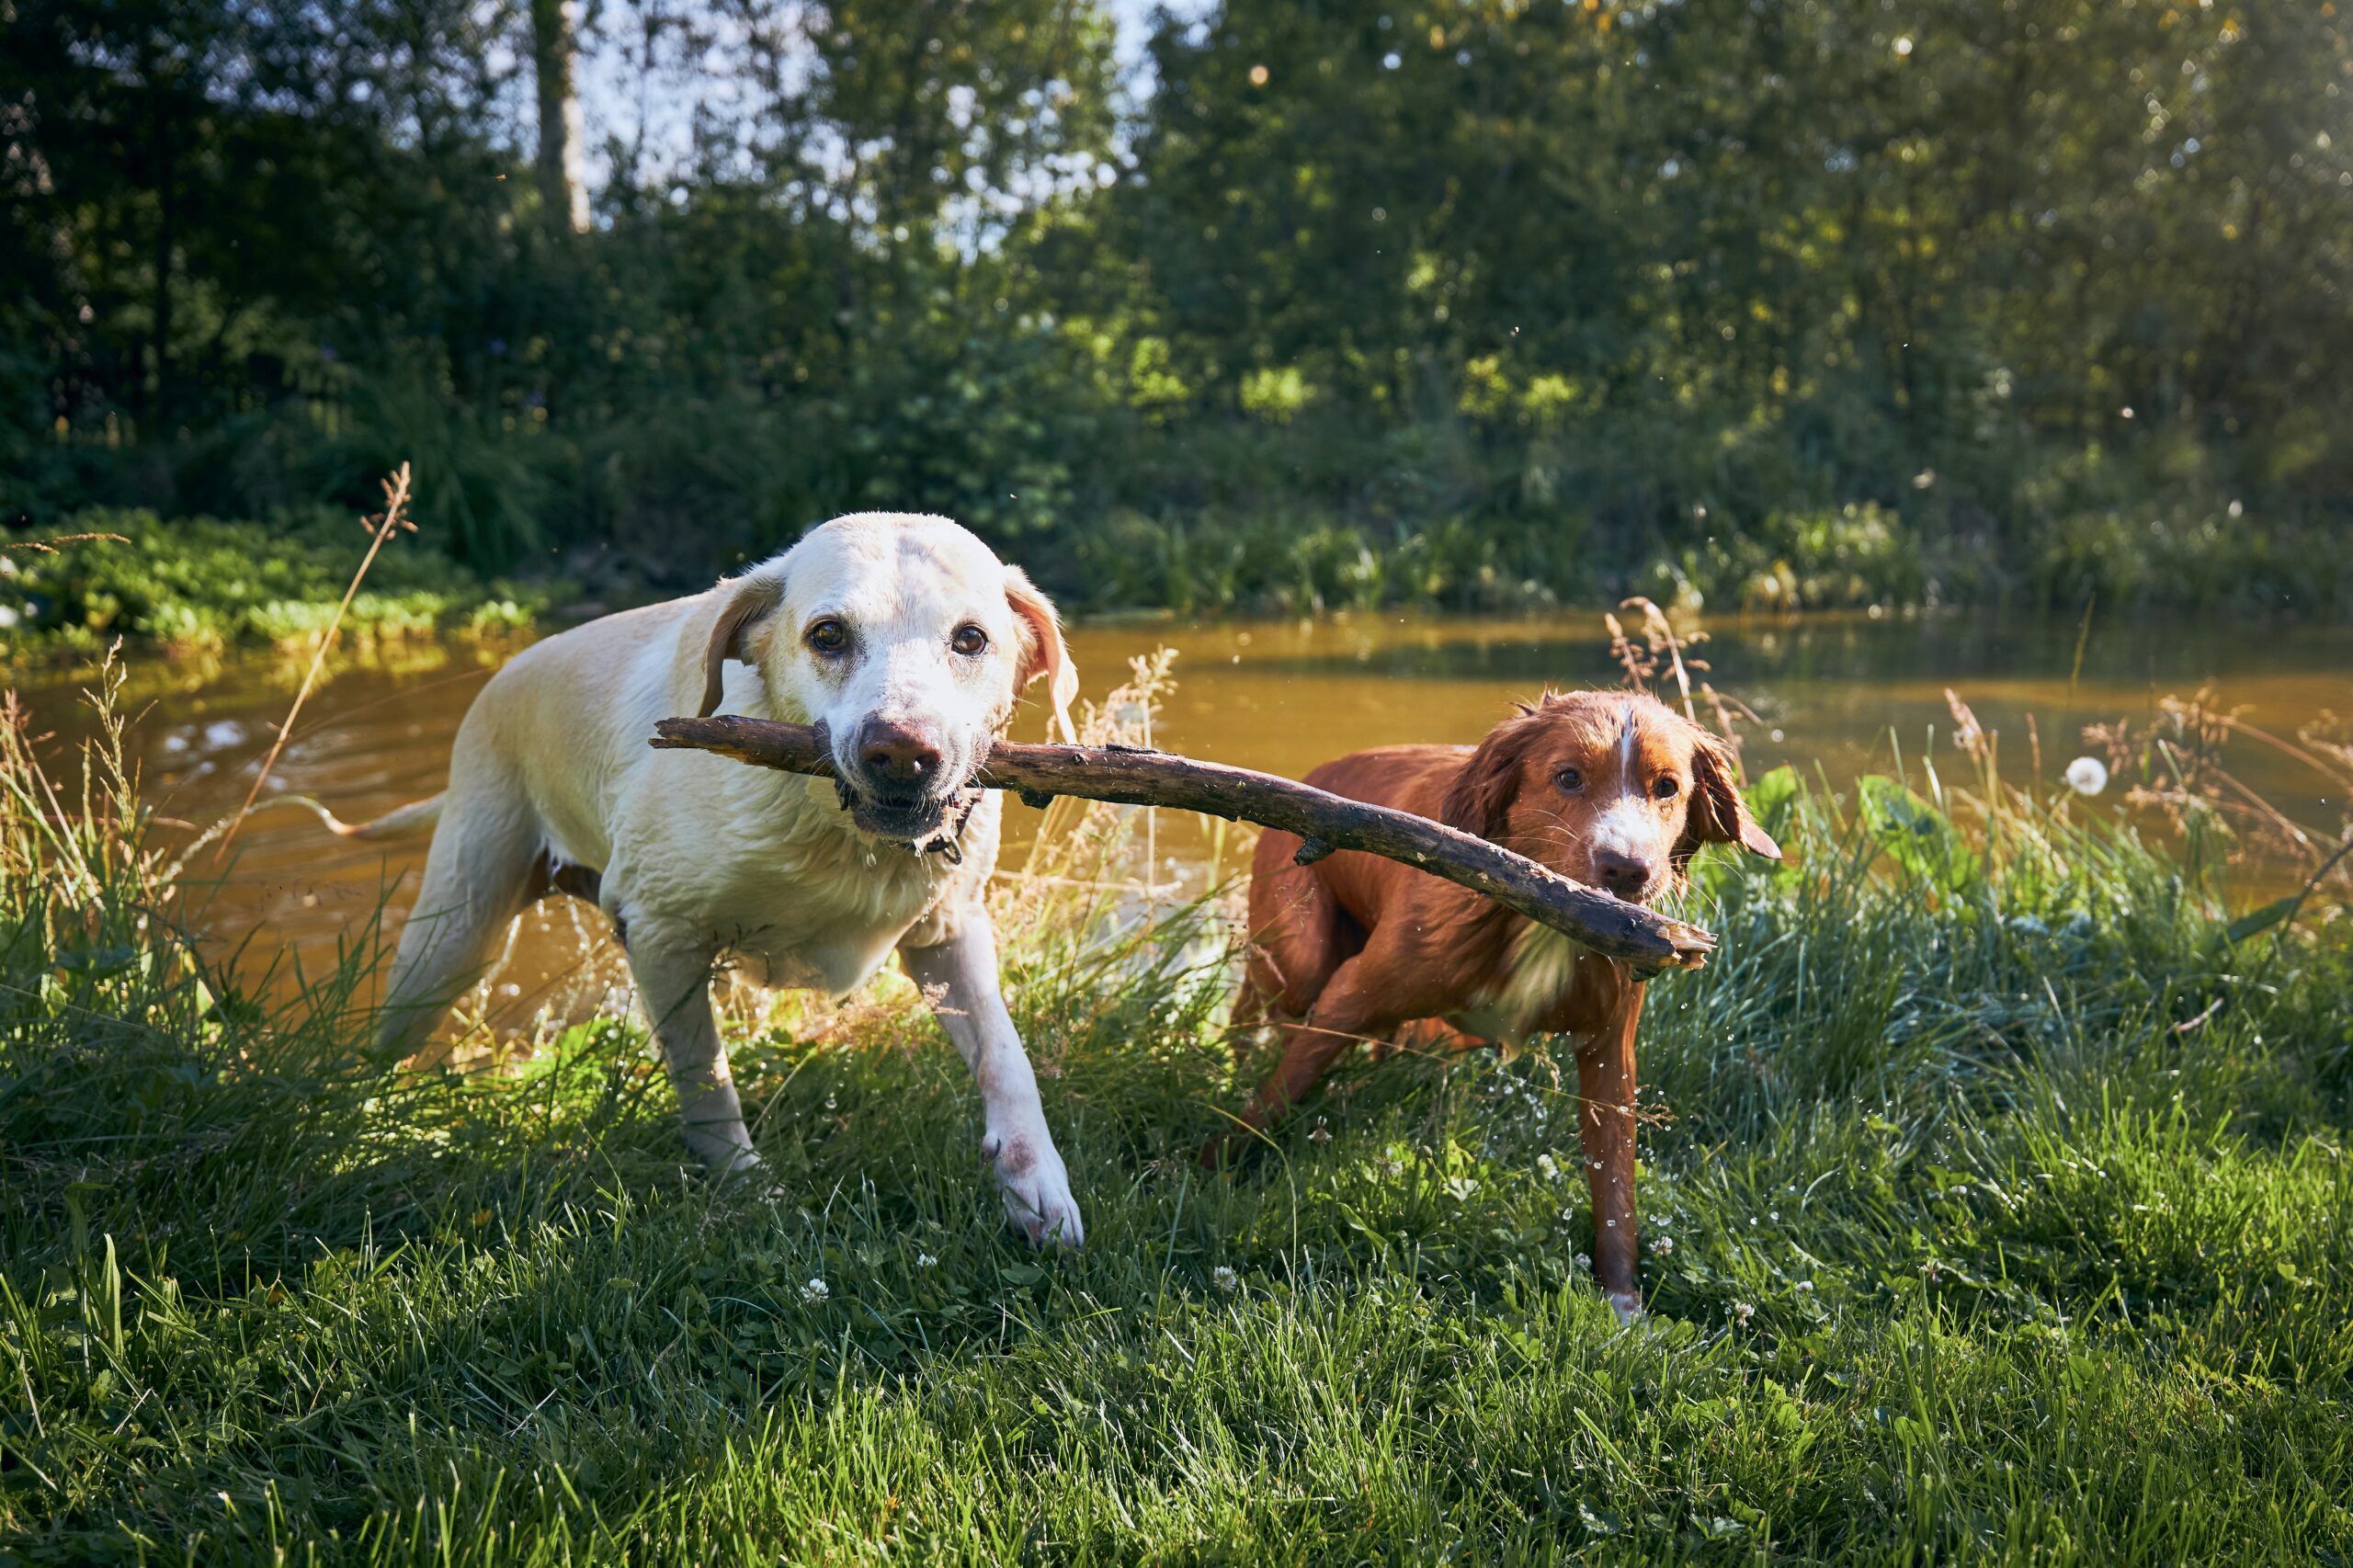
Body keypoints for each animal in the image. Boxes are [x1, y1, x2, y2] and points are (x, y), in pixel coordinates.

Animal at [343, 517, 1086, 1243]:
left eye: (970, 639)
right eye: (828, 635)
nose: (902, 752)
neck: (841, 839)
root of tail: (497, 682)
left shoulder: (949, 932)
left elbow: (1006, 1056)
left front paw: (1035, 1179)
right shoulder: (661, 935)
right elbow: (706, 1081)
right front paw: (749, 1192)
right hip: (451, 936)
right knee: (391, 1036)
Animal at [1223, 692, 1769, 1309]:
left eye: (1668, 786)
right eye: (1568, 777)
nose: (1628, 870)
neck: (1544, 923)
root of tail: (1314, 775)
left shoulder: (1610, 1053)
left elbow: (1616, 1194)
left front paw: (1623, 1303)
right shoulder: (1350, 992)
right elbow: (1273, 1098)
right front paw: (1213, 1167)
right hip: (1302, 963)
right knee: (1253, 1004)